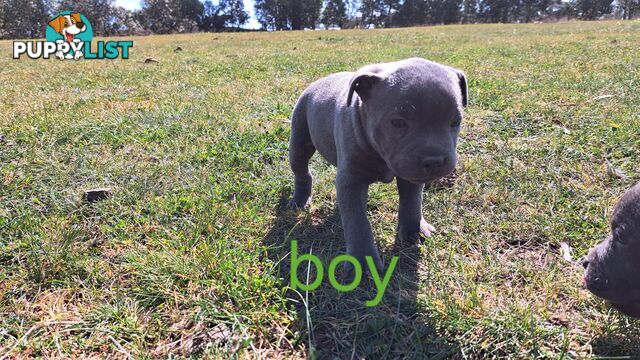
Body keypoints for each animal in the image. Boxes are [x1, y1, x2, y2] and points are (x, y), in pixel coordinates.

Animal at [288, 57, 468, 268]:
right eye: (398, 123)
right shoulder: (351, 181)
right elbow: (357, 221)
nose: (434, 160)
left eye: (456, 122)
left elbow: (412, 201)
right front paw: (362, 260)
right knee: (302, 171)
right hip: (299, 139)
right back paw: (299, 200)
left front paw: (413, 230)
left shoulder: (410, 176)